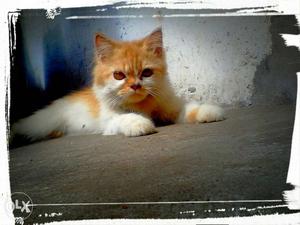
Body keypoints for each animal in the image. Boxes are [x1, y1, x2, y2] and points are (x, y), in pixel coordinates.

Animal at [12, 27, 225, 141]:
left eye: (146, 73)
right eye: (119, 75)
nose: (135, 86)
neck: (142, 105)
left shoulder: (170, 105)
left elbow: (189, 108)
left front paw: (209, 111)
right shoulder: (110, 120)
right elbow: (126, 118)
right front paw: (140, 124)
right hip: (39, 124)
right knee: (21, 126)